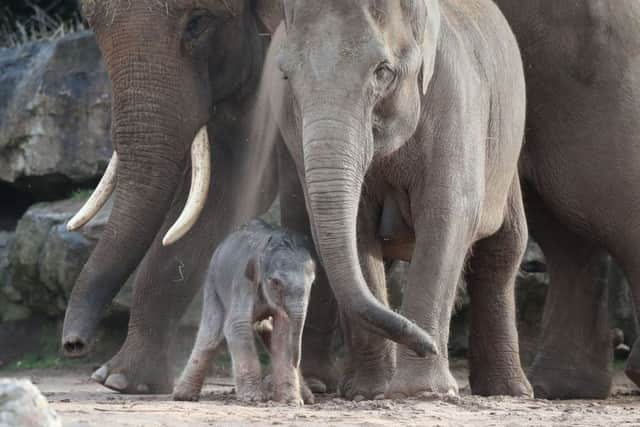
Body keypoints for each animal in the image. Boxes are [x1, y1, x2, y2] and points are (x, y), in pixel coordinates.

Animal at [174, 219, 316, 406]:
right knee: (210, 333)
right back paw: (183, 396)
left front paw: (292, 402)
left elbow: (283, 332)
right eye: (276, 282)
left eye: (313, 281)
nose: (296, 361)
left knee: (266, 329)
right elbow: (237, 326)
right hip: (212, 283)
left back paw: (308, 397)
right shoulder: (242, 282)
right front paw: (253, 399)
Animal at [262, 0, 532, 402]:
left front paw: (422, 391)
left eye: (383, 71)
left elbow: (446, 215)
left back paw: (511, 391)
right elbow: (358, 231)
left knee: (503, 250)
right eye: (285, 76)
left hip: (507, 156)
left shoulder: (456, 100)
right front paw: (369, 392)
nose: (428, 345)